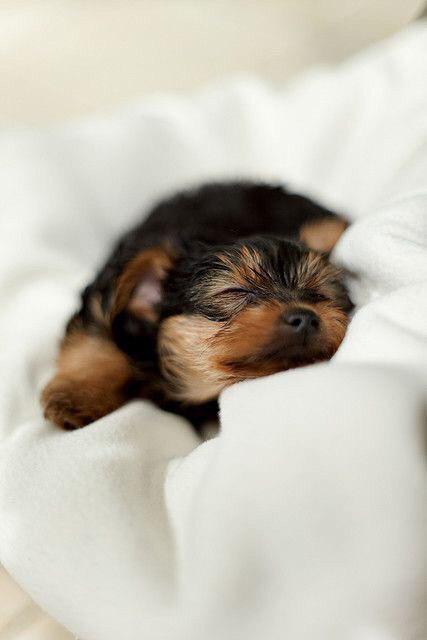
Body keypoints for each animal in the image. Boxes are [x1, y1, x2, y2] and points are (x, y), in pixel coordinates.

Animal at [41, 181, 352, 430]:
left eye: (319, 294)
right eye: (234, 291)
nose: (305, 317)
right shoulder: (104, 297)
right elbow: (95, 339)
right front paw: (75, 396)